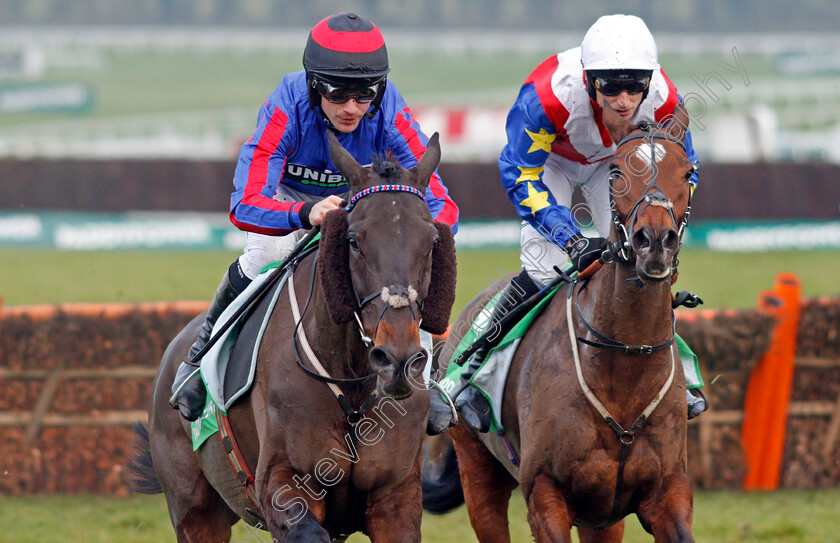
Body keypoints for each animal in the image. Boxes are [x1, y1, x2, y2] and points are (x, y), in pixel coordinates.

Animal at [130, 132, 456, 543]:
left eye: (431, 242)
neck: (351, 383)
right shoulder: (284, 483)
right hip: (193, 508)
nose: (396, 358)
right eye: (353, 240)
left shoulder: (396, 494)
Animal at [440, 104, 696, 540]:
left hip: (603, 519)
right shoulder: (545, 494)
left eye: (688, 171)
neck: (626, 360)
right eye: (615, 173)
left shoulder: (666, 492)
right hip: (477, 470)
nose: (654, 242)